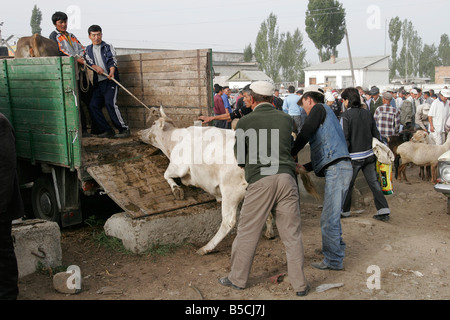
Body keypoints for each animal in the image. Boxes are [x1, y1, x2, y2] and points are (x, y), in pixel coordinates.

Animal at [139, 107, 318, 255]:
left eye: (153, 123)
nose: (139, 132)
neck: (174, 140)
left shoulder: (177, 166)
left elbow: (167, 176)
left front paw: (177, 190)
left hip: (231, 190)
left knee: (229, 221)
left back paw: (206, 248)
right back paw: (269, 232)